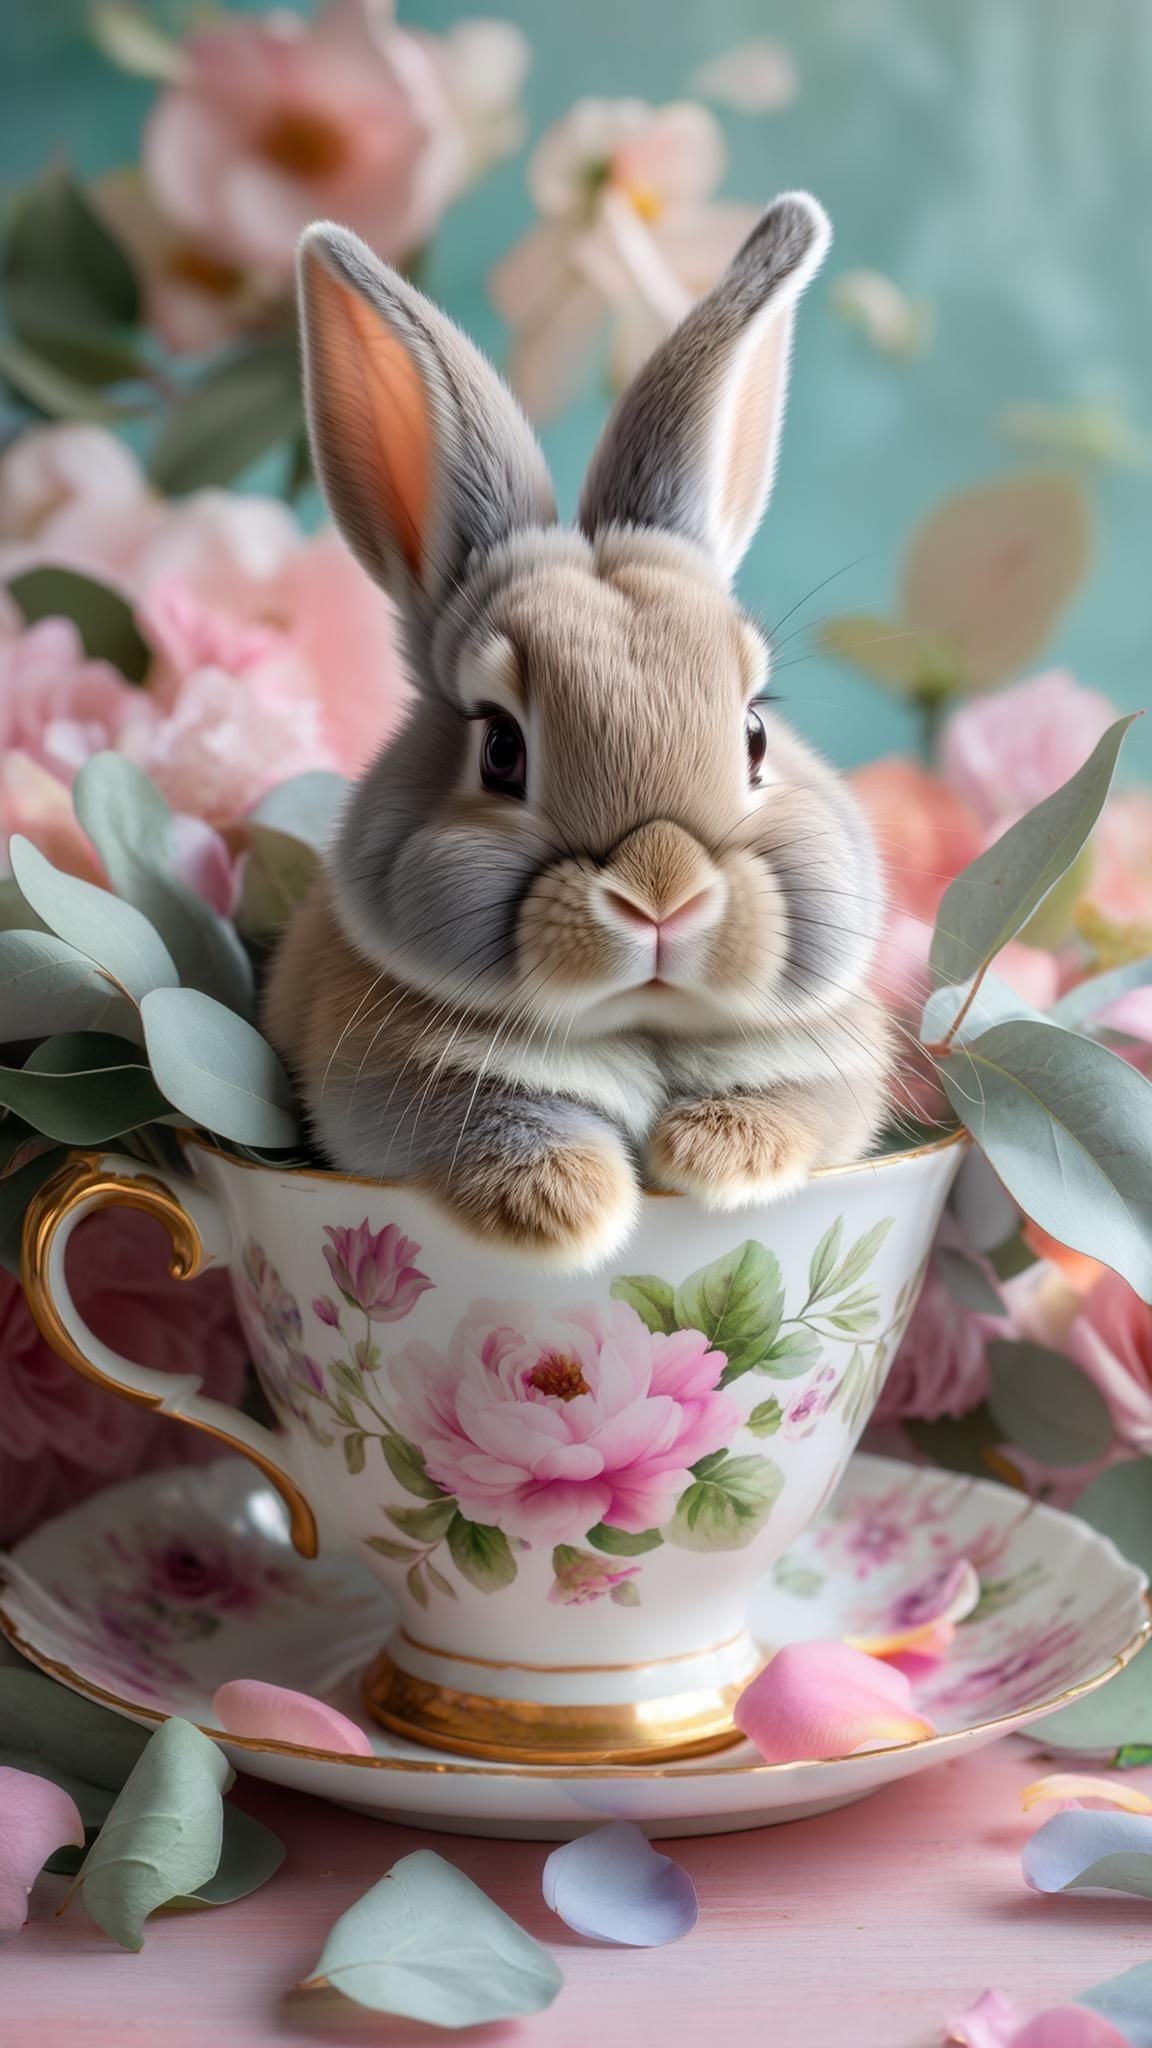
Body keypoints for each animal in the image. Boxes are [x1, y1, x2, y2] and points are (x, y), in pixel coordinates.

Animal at [264, 192, 895, 1271]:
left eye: (756, 735)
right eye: (500, 749)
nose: (663, 897)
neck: (638, 1027)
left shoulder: (827, 1071)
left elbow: (794, 1105)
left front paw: (717, 1156)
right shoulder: (413, 1086)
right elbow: (519, 1119)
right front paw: (573, 1207)